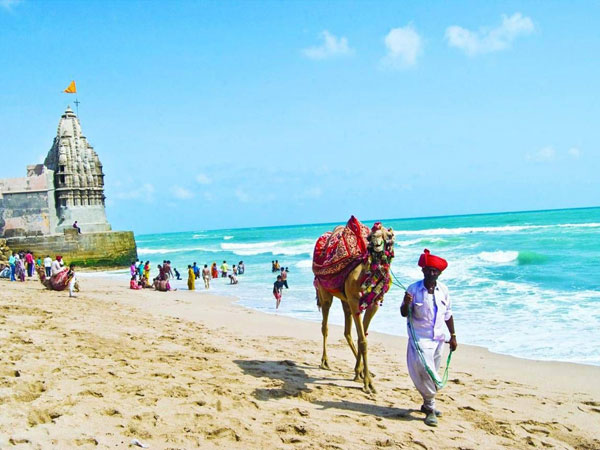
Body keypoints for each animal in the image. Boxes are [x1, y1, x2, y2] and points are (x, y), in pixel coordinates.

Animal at [313, 222, 395, 394]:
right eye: (370, 236)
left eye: (389, 235)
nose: (376, 244)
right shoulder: (354, 300)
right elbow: (363, 340)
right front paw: (368, 383)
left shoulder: (373, 304)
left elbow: (362, 336)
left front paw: (360, 372)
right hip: (326, 293)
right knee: (325, 325)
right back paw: (325, 361)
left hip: (345, 301)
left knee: (347, 331)